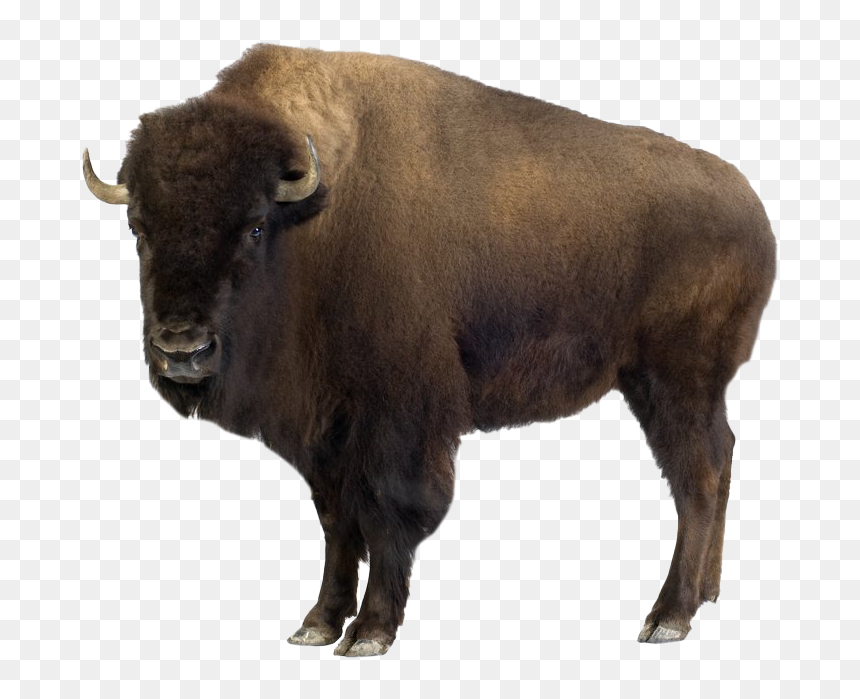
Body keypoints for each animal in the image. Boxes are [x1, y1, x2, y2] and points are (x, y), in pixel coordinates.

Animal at [83, 44, 776, 655]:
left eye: (253, 226)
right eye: (139, 228)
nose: (182, 349)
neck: (314, 223)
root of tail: (750, 207)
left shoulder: (399, 414)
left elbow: (387, 509)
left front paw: (369, 632)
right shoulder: (324, 433)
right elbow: (336, 520)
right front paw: (317, 623)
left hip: (674, 380)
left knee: (696, 476)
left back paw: (668, 616)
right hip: (669, 385)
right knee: (722, 457)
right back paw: (707, 595)